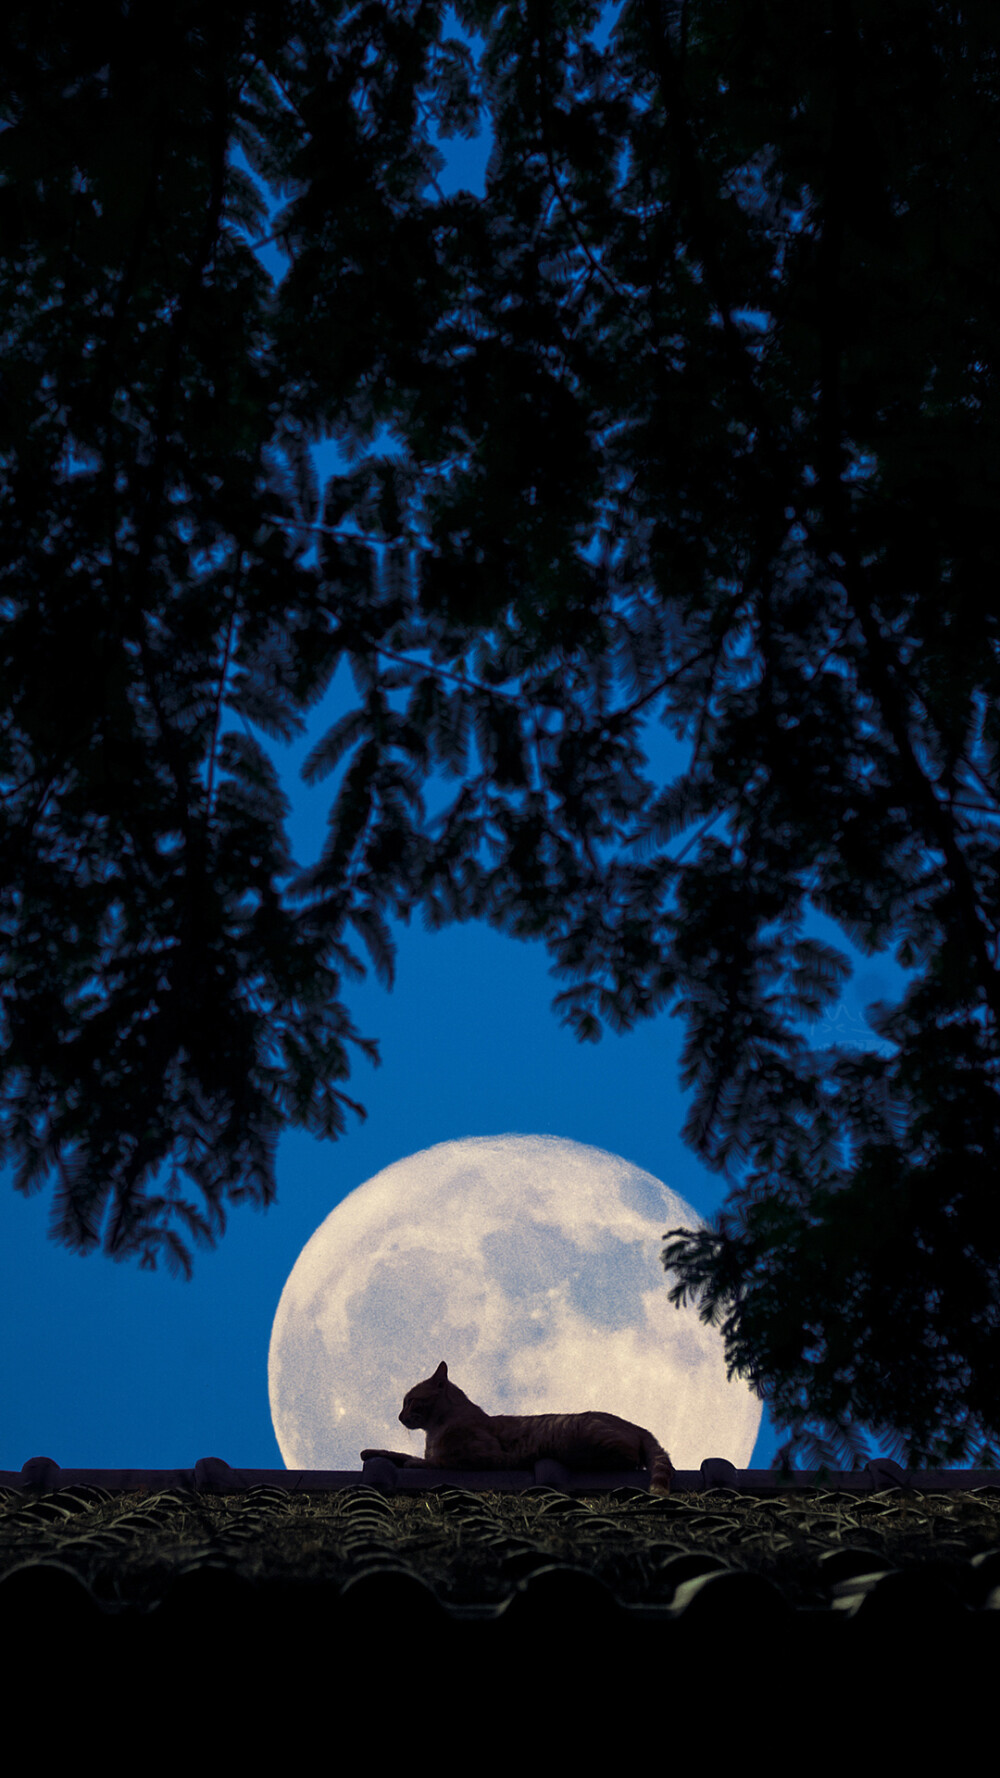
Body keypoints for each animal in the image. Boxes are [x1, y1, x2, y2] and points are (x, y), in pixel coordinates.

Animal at [357, 1358, 669, 1486]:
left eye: (410, 1401)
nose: (399, 1416)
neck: (434, 1431)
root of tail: (636, 1425)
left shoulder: (484, 1457)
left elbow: (434, 1461)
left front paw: (415, 1462)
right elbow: (394, 1453)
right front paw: (371, 1452)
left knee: (629, 1459)